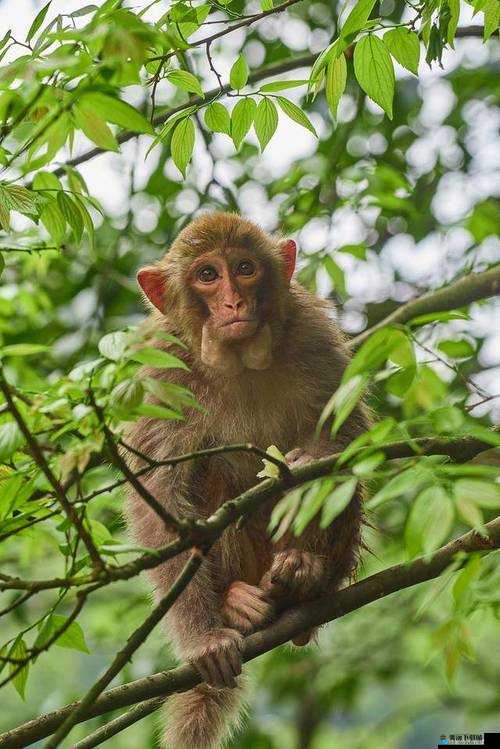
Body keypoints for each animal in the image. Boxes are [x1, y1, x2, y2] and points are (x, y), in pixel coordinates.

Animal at [123, 212, 370, 748]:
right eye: (207, 276)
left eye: (244, 268)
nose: (234, 302)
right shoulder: (163, 371)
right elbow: (161, 501)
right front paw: (203, 639)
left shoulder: (314, 334)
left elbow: (351, 438)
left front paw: (307, 461)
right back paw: (236, 603)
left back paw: (305, 575)